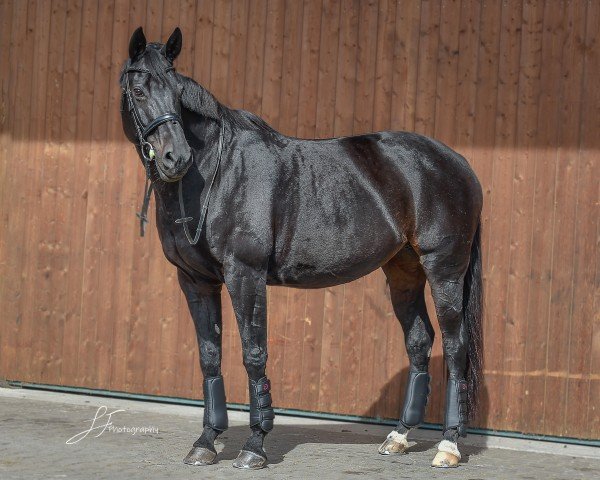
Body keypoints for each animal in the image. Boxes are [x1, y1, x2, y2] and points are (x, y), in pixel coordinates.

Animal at [120, 27, 482, 468]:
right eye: (139, 91)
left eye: (177, 93)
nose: (177, 158)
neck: (216, 174)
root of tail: (457, 162)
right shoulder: (195, 281)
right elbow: (209, 356)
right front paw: (205, 442)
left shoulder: (245, 274)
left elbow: (253, 353)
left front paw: (255, 445)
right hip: (403, 271)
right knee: (419, 341)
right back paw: (397, 437)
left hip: (444, 269)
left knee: (455, 347)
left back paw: (448, 446)